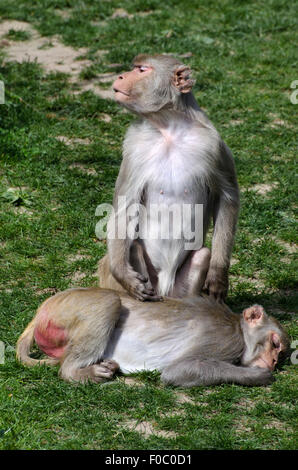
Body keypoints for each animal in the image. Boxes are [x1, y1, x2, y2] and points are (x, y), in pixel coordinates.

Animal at [16, 288, 288, 388]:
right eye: (275, 344)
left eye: (281, 352)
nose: (274, 361)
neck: (238, 328)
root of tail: (45, 307)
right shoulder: (225, 340)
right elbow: (178, 371)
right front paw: (257, 376)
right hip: (71, 309)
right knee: (109, 302)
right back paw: (79, 372)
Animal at [98, 54, 240, 302]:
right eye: (135, 67)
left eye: (142, 69)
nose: (121, 76)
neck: (169, 128)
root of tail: (164, 289)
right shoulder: (134, 146)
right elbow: (123, 207)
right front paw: (123, 274)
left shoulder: (213, 144)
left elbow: (227, 196)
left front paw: (218, 275)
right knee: (133, 247)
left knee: (203, 254)